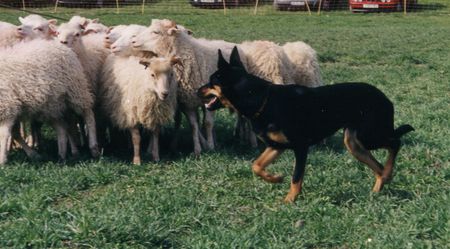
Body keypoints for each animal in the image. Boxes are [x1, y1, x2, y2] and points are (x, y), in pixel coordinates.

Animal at [100, 25, 178, 163]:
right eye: (152, 75)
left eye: (171, 74)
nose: (113, 47)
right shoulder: (131, 111)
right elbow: (136, 138)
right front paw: (137, 160)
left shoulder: (155, 111)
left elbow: (155, 134)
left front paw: (155, 156)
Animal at [199, 46, 414, 202]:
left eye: (211, 81)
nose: (196, 91)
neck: (262, 100)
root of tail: (386, 99)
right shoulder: (277, 146)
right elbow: (256, 166)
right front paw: (276, 179)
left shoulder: (301, 147)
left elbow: (296, 178)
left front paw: (289, 200)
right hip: (354, 143)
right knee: (378, 165)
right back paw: (381, 184)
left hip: (369, 136)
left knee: (395, 143)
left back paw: (387, 174)